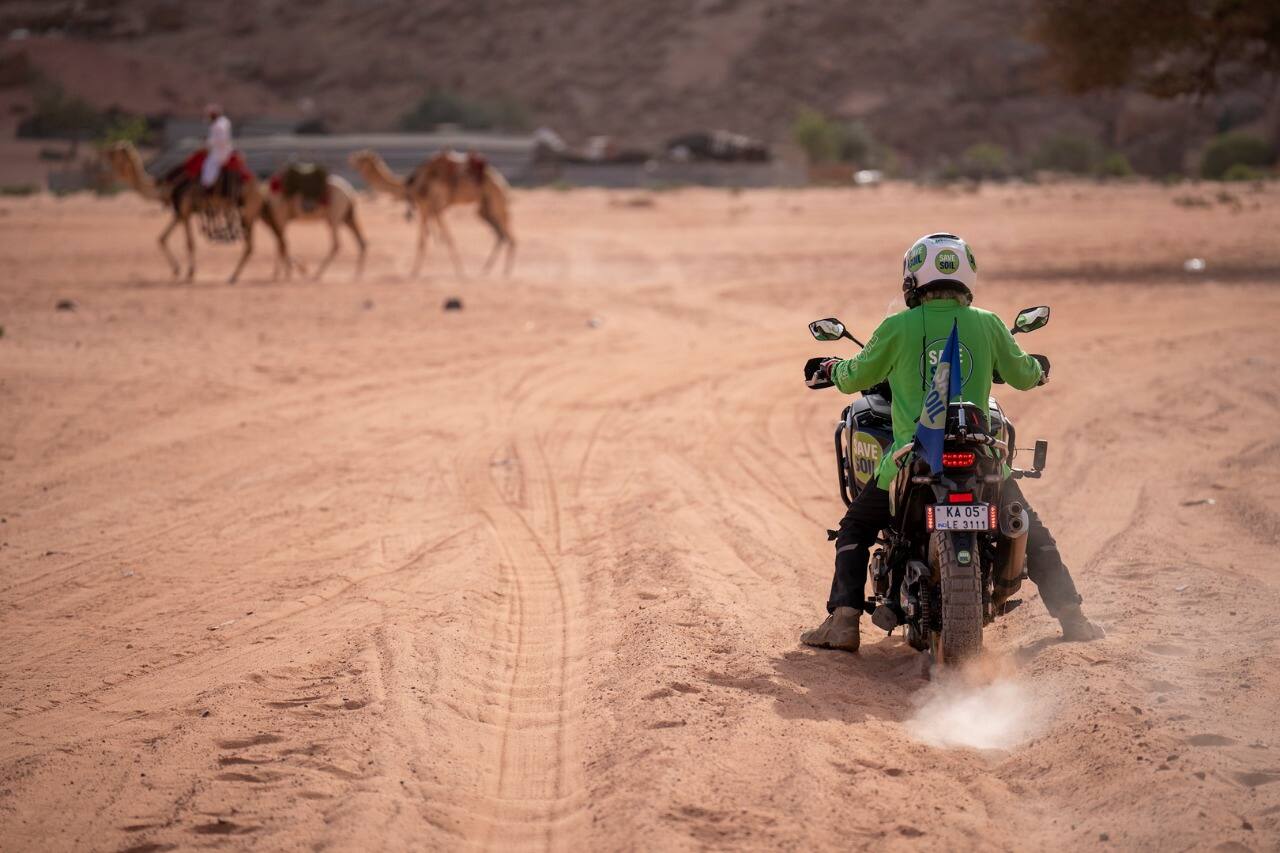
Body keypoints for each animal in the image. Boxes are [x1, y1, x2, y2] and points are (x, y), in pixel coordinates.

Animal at [102, 139, 288, 281]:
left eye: (115, 153)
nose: (105, 153)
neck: (167, 187)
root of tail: (261, 188)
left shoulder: (184, 212)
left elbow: (189, 243)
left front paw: (189, 273)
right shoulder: (179, 213)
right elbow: (161, 238)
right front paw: (177, 270)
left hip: (248, 212)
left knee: (252, 246)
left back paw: (233, 276)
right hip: (259, 212)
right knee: (278, 239)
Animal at [350, 147, 514, 275]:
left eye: (362, 159)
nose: (350, 159)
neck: (411, 185)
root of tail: (502, 181)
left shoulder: (431, 207)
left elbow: (440, 239)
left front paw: (459, 271)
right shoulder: (429, 209)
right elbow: (427, 239)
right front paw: (416, 271)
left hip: (497, 200)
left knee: (508, 235)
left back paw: (505, 271)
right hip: (484, 208)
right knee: (501, 235)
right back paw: (488, 269)